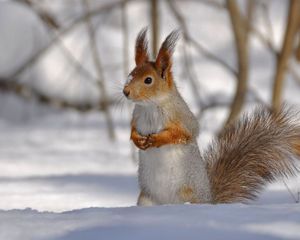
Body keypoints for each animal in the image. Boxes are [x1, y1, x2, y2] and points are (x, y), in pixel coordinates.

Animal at [122, 27, 300, 205]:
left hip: (189, 195)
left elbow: (183, 133)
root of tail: (209, 200)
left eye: (148, 80)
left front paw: (157, 139)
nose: (125, 91)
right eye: (131, 74)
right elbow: (132, 130)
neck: (150, 106)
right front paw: (137, 139)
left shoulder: (183, 117)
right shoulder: (136, 116)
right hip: (146, 199)